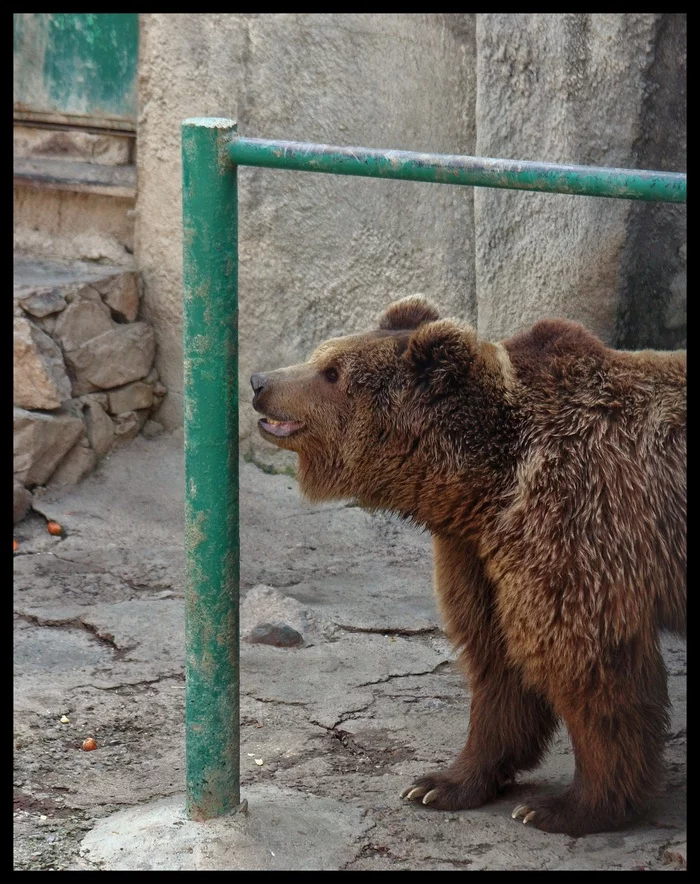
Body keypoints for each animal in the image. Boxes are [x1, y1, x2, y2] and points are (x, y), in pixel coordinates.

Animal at [250, 296, 686, 837]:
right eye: (321, 354)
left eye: (332, 372)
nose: (259, 382)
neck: (488, 482)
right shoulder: (477, 554)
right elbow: (496, 661)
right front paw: (440, 783)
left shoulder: (578, 520)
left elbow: (588, 666)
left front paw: (564, 807)